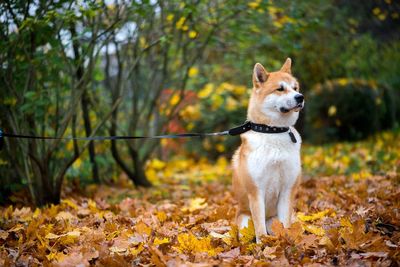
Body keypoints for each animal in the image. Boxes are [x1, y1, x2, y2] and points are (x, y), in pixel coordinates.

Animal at [231, 58, 304, 243]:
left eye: (295, 88)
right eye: (280, 89)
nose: (300, 97)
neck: (273, 132)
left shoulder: (287, 189)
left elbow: (285, 225)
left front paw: (286, 241)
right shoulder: (256, 191)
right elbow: (259, 229)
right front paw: (263, 245)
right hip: (244, 220)